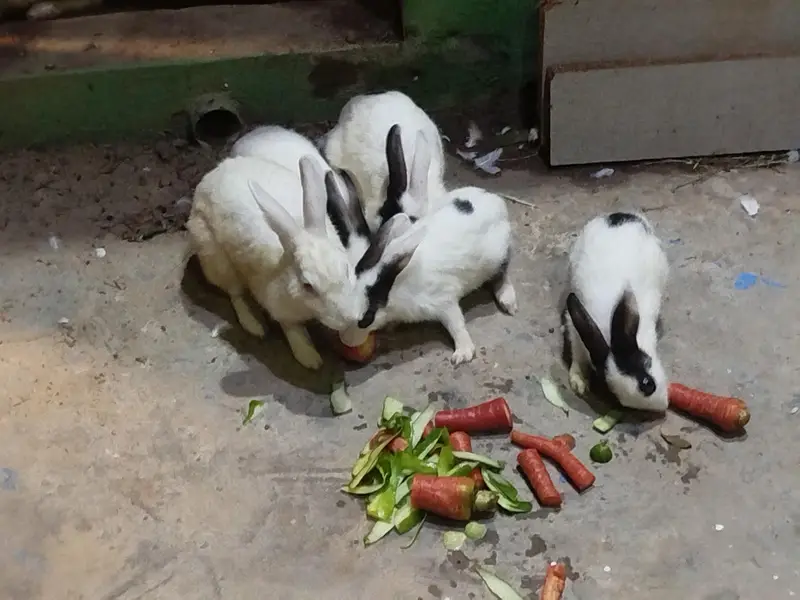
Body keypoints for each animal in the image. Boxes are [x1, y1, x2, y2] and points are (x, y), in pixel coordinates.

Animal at [186, 154, 363, 370]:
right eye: (307, 286)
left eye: (346, 269)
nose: (350, 317)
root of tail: (209, 177)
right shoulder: (277, 305)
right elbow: (291, 329)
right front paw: (309, 358)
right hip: (217, 259)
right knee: (235, 295)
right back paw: (254, 326)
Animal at [337, 187, 517, 365]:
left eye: (366, 318)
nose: (346, 341)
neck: (395, 287)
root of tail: (495, 200)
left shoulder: (444, 301)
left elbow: (457, 326)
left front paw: (462, 353)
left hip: (496, 258)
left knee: (502, 274)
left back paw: (508, 301)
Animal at [563, 211, 670, 412]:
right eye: (615, 395)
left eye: (648, 382)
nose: (664, 405)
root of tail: (622, 215)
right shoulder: (576, 331)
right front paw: (578, 382)